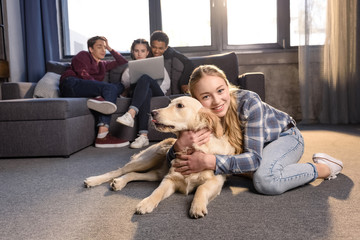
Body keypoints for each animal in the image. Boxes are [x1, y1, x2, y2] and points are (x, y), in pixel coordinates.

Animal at [84, 95, 236, 218]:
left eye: (180, 105)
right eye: (169, 104)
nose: (152, 112)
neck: (191, 149)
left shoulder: (216, 181)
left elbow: (201, 188)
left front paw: (197, 206)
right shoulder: (169, 179)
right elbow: (158, 191)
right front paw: (147, 203)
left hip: (155, 174)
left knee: (133, 174)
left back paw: (119, 182)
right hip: (147, 161)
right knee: (119, 171)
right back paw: (93, 180)